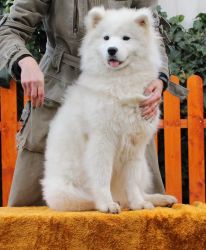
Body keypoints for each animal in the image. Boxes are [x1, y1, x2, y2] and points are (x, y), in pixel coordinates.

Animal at [41, 6, 177, 213]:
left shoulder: (135, 145)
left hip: (144, 168)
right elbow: (102, 177)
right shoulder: (102, 141)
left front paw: (138, 204)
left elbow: (132, 182)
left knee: (135, 190)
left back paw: (158, 199)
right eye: (106, 38)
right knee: (89, 199)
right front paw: (107, 204)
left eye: (126, 38)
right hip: (66, 192)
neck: (120, 81)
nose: (111, 50)